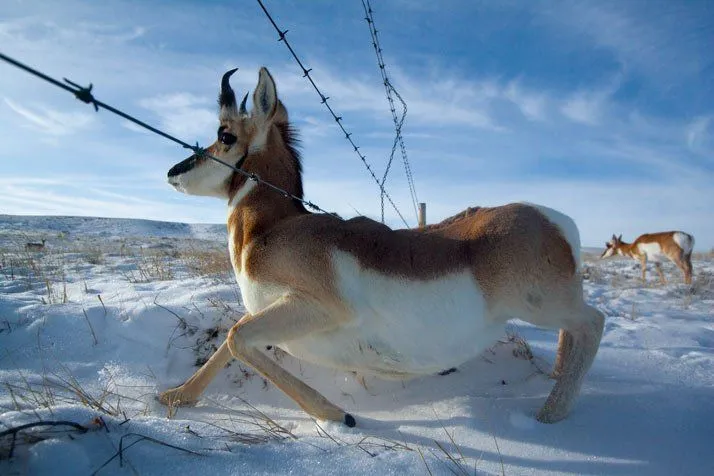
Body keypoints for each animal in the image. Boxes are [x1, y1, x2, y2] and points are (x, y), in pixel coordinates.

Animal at [159, 67, 604, 428]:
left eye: (225, 135)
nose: (172, 172)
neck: (275, 228)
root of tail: (556, 221)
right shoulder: (268, 314)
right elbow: (228, 344)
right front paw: (175, 396)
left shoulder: (314, 307)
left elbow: (235, 337)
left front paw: (338, 414)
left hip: (543, 306)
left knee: (593, 322)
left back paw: (551, 413)